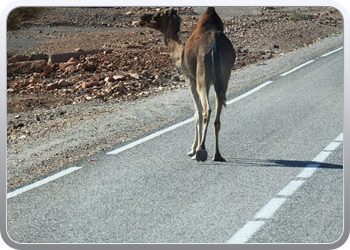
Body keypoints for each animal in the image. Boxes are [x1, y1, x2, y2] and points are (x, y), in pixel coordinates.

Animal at [139, 7, 235, 162]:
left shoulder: (189, 78)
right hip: (224, 78)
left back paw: (201, 150)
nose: (141, 19)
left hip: (202, 78)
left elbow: (197, 113)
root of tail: (215, 47)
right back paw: (217, 155)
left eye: (156, 15)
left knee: (207, 110)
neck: (181, 55)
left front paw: (192, 149)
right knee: (218, 115)